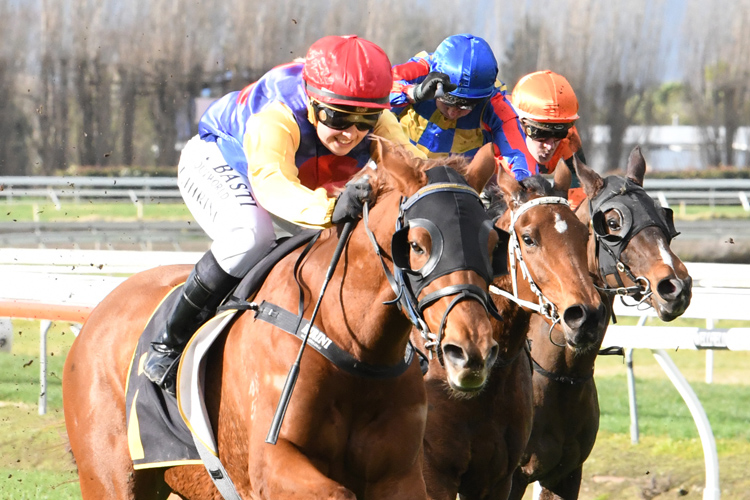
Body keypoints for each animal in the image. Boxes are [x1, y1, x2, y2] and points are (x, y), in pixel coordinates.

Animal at [61, 142, 508, 500]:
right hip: (111, 479)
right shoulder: (272, 465)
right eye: (416, 245)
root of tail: (99, 313)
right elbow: (336, 492)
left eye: (491, 243)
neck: (354, 349)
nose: (471, 351)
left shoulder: (399, 476)